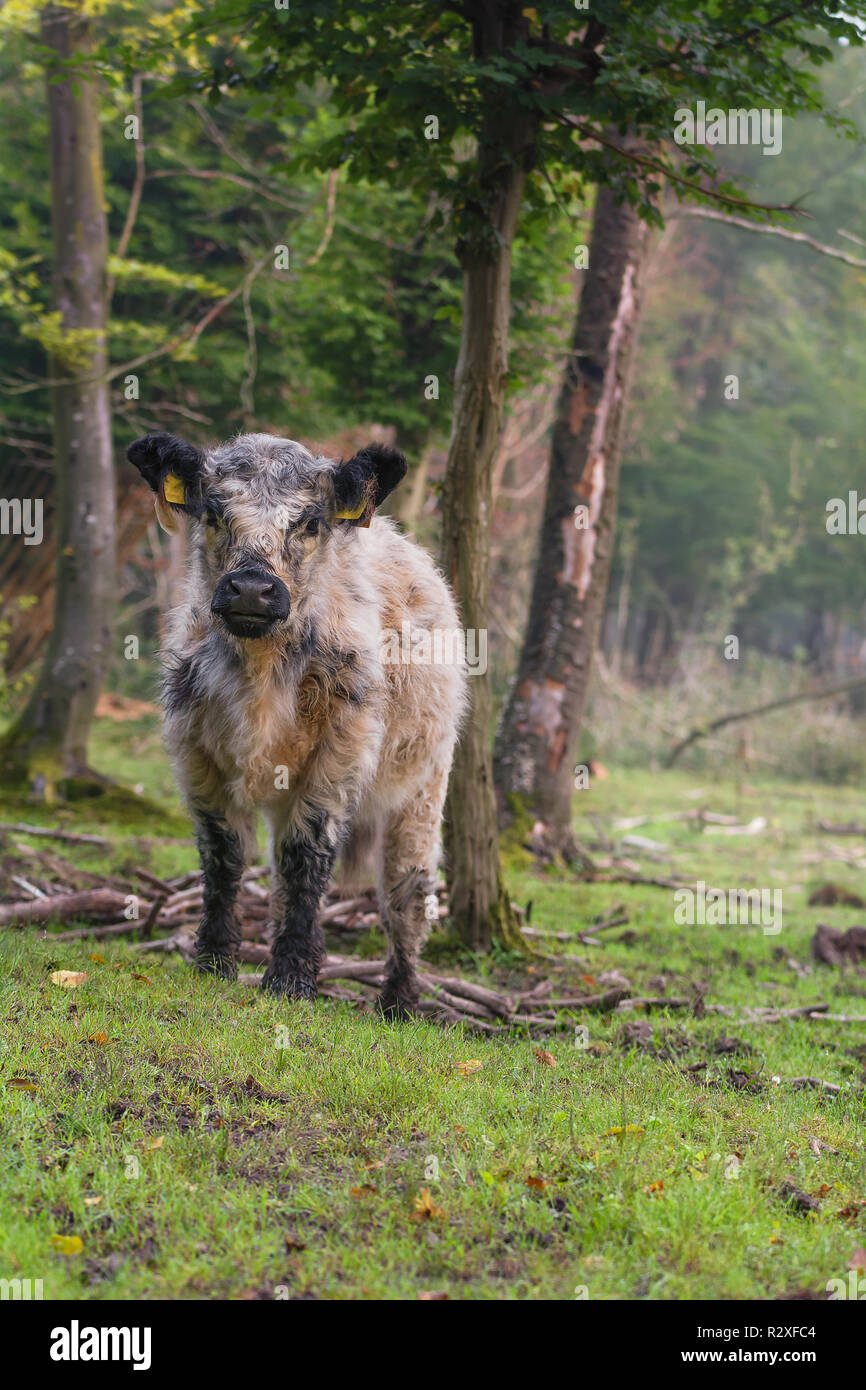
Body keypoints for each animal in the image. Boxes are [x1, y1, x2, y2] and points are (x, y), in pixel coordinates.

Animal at [127, 430, 467, 1018]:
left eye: (310, 522)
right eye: (213, 512)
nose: (250, 589)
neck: (262, 669)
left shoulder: (341, 751)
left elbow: (307, 857)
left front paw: (290, 979)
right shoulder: (193, 750)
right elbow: (224, 855)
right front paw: (213, 962)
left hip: (424, 784)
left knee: (406, 893)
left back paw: (399, 1002)